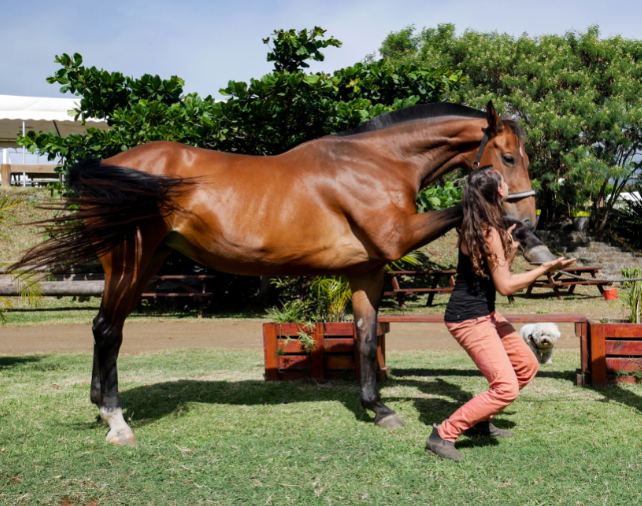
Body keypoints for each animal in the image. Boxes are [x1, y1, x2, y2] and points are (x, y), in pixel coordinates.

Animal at [12, 101, 555, 445]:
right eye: (508, 156)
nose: (530, 218)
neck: (377, 163)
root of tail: (108, 165)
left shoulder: (367, 270)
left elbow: (365, 338)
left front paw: (377, 409)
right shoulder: (396, 238)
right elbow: (471, 211)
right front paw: (535, 247)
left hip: (142, 263)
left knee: (109, 330)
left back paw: (99, 404)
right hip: (132, 259)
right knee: (107, 329)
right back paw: (116, 421)